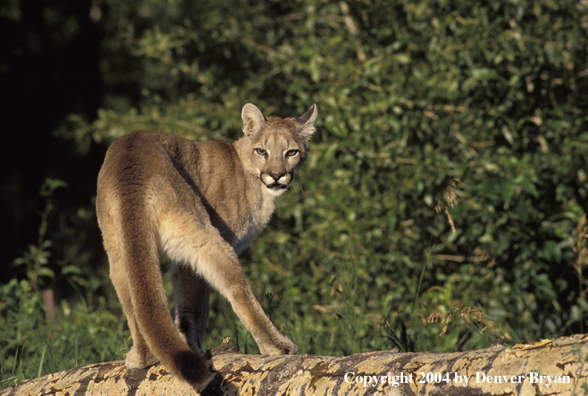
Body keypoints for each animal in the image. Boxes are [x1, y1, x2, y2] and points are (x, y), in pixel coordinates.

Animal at [96, 103, 316, 386]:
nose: (277, 175)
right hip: (203, 234)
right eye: (261, 151)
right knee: (237, 289)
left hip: (118, 249)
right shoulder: (197, 254)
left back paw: (142, 358)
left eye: (291, 152)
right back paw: (278, 347)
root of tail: (132, 164)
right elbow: (196, 308)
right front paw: (195, 348)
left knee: (134, 299)